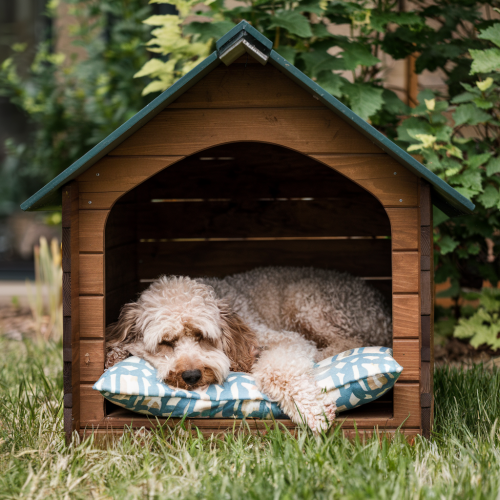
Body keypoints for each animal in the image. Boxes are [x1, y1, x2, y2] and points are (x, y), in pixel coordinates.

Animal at [105, 266, 392, 434]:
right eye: (165, 342)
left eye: (202, 336)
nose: (191, 376)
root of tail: (383, 308)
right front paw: (113, 355)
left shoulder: (286, 339)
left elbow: (277, 371)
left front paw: (312, 412)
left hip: (304, 301)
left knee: (350, 340)